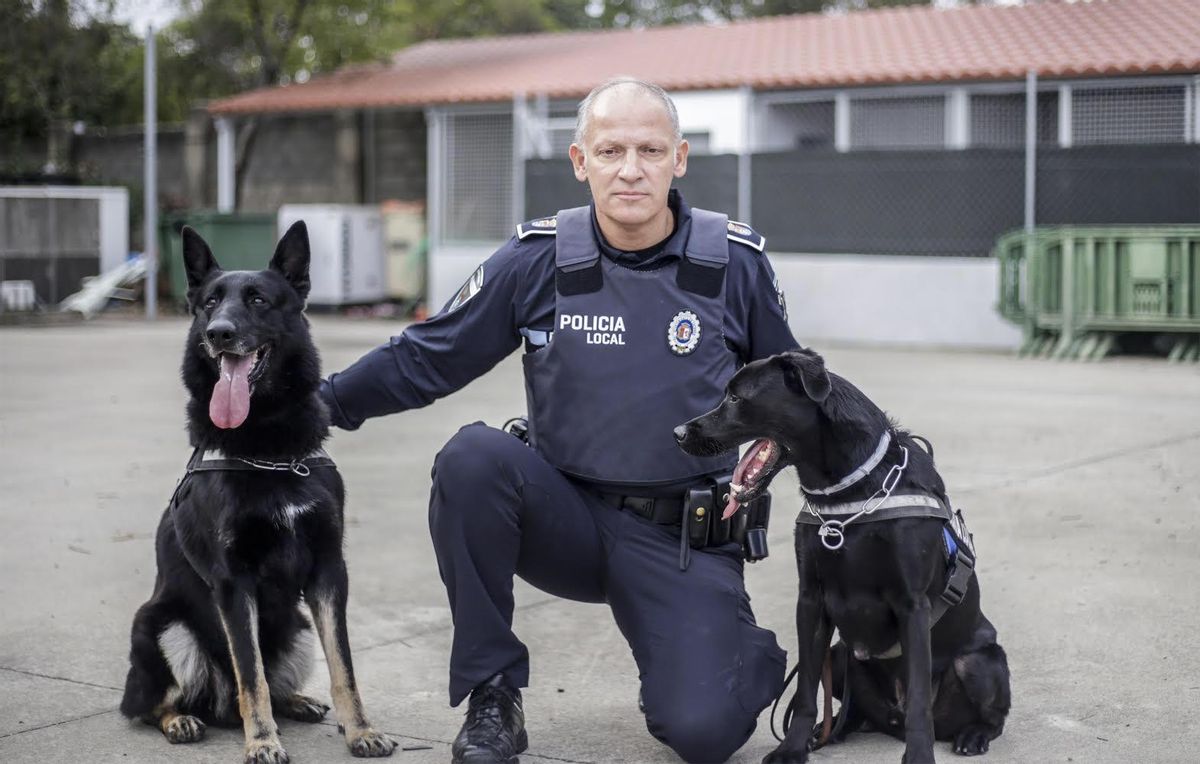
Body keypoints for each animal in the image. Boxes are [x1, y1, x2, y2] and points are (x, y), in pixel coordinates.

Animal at [120, 223, 396, 758]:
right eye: (210, 302)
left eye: (258, 300)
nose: (218, 333)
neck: (269, 448)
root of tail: (218, 707)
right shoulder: (234, 582)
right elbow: (252, 675)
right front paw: (261, 741)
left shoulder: (329, 571)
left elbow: (343, 666)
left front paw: (360, 730)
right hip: (160, 626)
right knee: (151, 703)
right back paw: (181, 720)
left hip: (297, 626)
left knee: (271, 681)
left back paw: (298, 702)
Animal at [681, 347, 1008, 758]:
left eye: (737, 398)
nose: (678, 433)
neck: (848, 493)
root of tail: (890, 720)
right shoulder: (811, 601)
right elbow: (806, 689)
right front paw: (792, 748)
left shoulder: (914, 606)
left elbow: (919, 699)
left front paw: (919, 755)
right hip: (841, 654)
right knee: (853, 711)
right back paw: (827, 731)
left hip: (981, 662)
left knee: (988, 716)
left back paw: (973, 735)